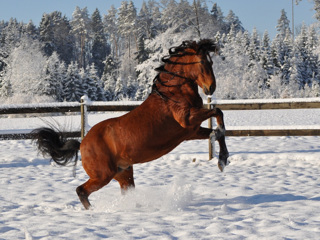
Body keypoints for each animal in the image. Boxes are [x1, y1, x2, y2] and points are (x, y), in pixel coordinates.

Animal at [32, 38, 229, 209]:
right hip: (103, 175)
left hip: (123, 173)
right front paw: (222, 156)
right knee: (81, 191)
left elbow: (217, 132)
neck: (173, 94)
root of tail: (82, 144)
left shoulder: (191, 131)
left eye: (211, 62)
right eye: (203, 62)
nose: (211, 88)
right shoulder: (187, 119)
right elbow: (218, 112)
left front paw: (223, 159)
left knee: (123, 191)